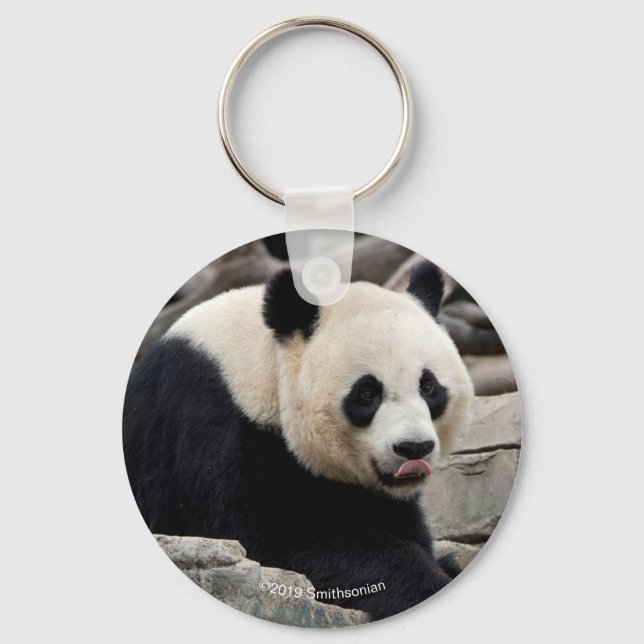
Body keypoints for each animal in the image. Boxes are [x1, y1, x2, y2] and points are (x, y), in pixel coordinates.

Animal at [123, 261, 474, 621]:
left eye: (429, 387)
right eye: (367, 392)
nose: (413, 448)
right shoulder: (211, 425)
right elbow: (266, 543)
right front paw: (427, 583)